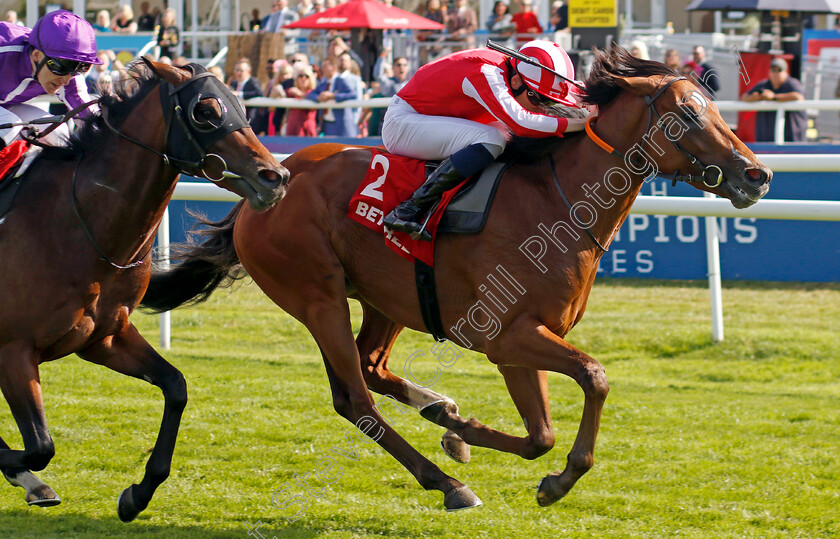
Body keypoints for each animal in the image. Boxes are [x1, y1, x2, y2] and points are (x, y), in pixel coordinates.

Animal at [0, 57, 288, 520]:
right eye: (205, 111)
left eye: (243, 106)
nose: (275, 177)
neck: (75, 225)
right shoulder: (13, 350)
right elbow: (41, 446)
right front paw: (24, 473)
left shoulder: (104, 338)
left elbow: (176, 387)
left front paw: (137, 493)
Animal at [141, 48, 772, 512]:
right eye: (688, 115)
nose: (757, 174)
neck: (559, 204)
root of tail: (270, 182)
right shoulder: (508, 336)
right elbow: (591, 379)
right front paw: (556, 479)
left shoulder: (522, 341)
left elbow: (540, 435)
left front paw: (458, 429)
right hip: (317, 296)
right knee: (354, 396)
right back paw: (447, 483)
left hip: (385, 298)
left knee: (373, 365)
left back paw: (438, 410)